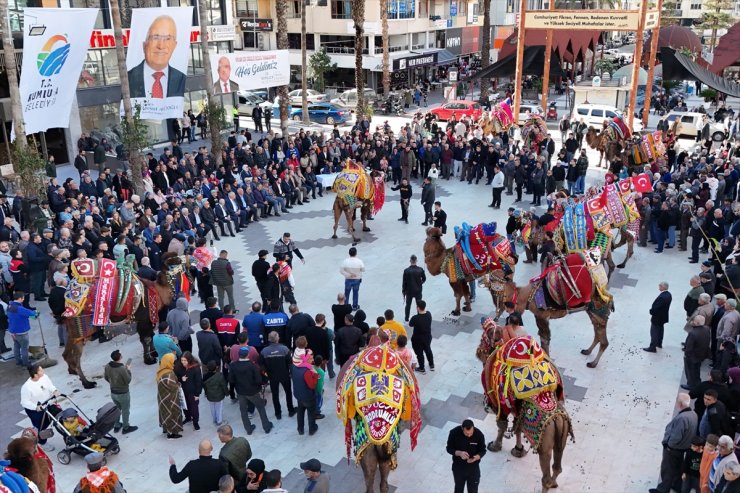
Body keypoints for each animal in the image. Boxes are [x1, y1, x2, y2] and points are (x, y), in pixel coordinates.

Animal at [62, 254, 189, 388]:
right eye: (176, 261)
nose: (185, 259)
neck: (158, 291)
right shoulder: (145, 318)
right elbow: (146, 339)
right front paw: (149, 360)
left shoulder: (146, 319)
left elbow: (150, 336)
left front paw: (153, 354)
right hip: (82, 329)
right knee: (74, 358)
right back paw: (87, 383)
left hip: (75, 332)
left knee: (67, 354)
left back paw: (72, 372)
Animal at [476, 328, 576, 490]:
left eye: (484, 338)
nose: (478, 350)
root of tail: (558, 420)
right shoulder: (519, 408)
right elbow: (517, 427)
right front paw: (519, 450)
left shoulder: (500, 404)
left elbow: (502, 425)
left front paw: (495, 446)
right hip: (562, 440)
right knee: (557, 467)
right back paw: (555, 484)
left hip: (544, 446)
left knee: (545, 475)